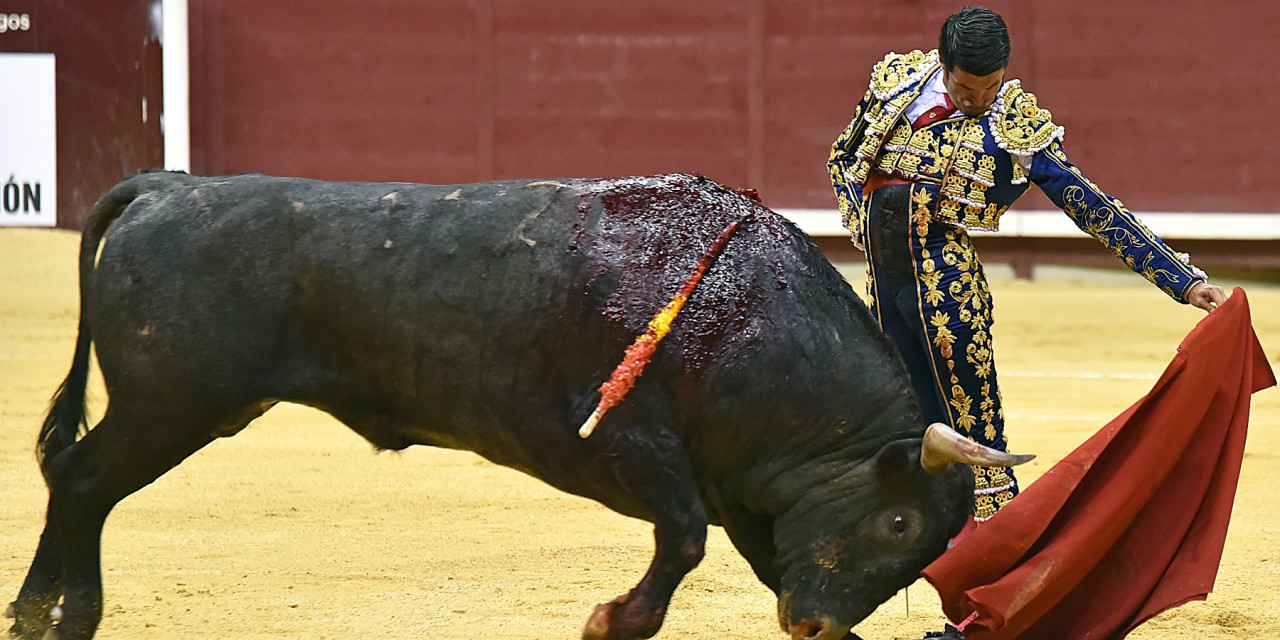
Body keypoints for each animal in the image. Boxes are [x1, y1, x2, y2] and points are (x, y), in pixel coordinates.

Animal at [10, 170, 1024, 640]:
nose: (815, 627)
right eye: (898, 522)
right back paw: (69, 614)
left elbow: (728, 544)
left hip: (184, 407)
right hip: (167, 405)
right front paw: (612, 620)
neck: (751, 324)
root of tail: (171, 185)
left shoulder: (736, 482)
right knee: (84, 480)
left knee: (69, 475)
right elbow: (684, 542)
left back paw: (31, 607)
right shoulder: (631, 445)